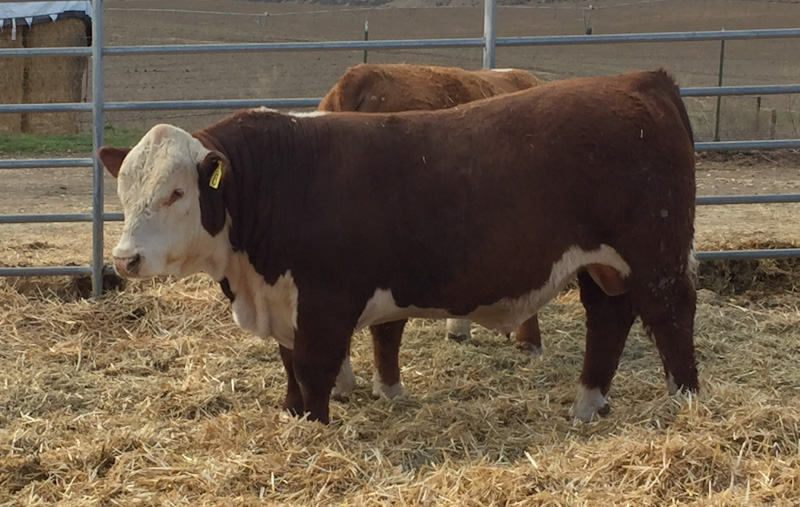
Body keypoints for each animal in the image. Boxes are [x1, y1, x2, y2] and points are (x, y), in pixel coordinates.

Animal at [100, 67, 700, 424]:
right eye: (125, 188)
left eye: (177, 192)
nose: (125, 259)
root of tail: (640, 80)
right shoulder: (286, 302)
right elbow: (290, 363)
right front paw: (295, 416)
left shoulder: (327, 299)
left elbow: (314, 365)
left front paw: (316, 427)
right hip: (603, 266)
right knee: (609, 319)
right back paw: (588, 403)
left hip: (656, 256)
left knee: (671, 315)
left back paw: (685, 399)